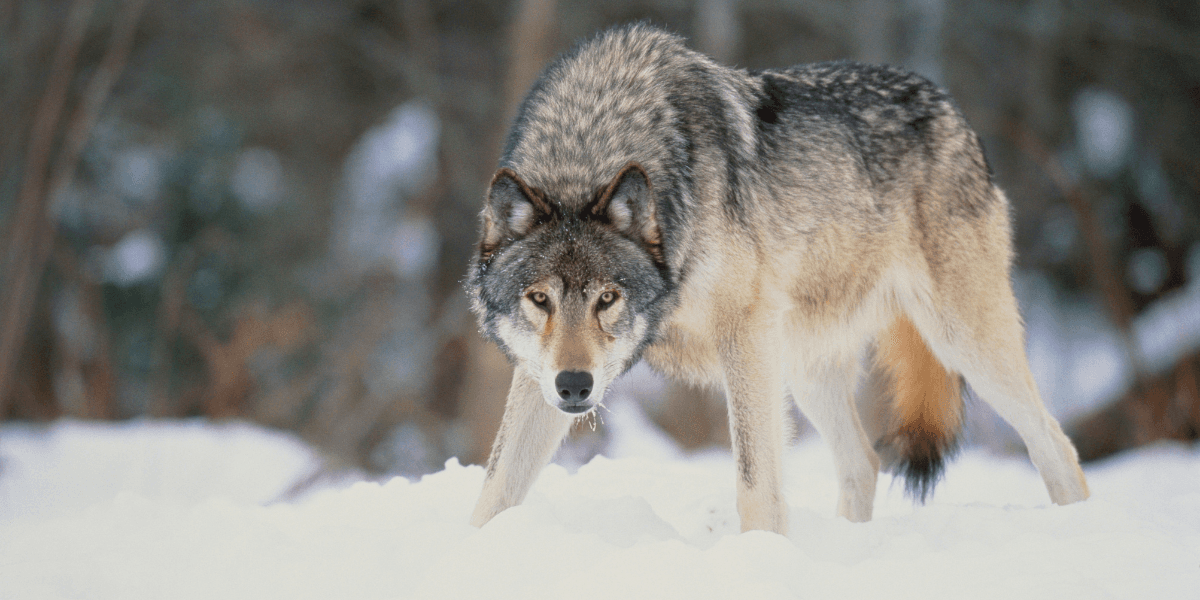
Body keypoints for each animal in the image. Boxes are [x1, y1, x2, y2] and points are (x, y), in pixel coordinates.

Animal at [466, 24, 1089, 534]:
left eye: (607, 298)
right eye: (539, 299)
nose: (575, 386)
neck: (591, 143)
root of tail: (949, 104)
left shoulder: (744, 336)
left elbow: (755, 484)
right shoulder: (538, 373)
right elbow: (495, 488)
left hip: (961, 343)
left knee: (1057, 447)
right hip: (805, 367)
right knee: (864, 464)